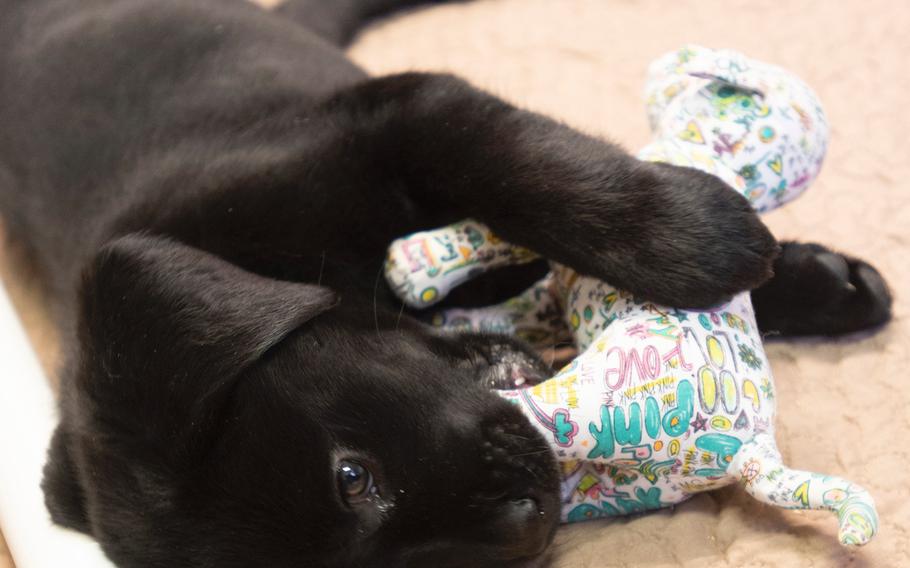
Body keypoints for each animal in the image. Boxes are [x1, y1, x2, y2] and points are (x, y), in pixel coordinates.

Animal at [0, 1, 892, 568]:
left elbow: (522, 166)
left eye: (351, 476)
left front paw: (700, 238)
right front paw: (816, 283)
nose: (529, 526)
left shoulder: (399, 115)